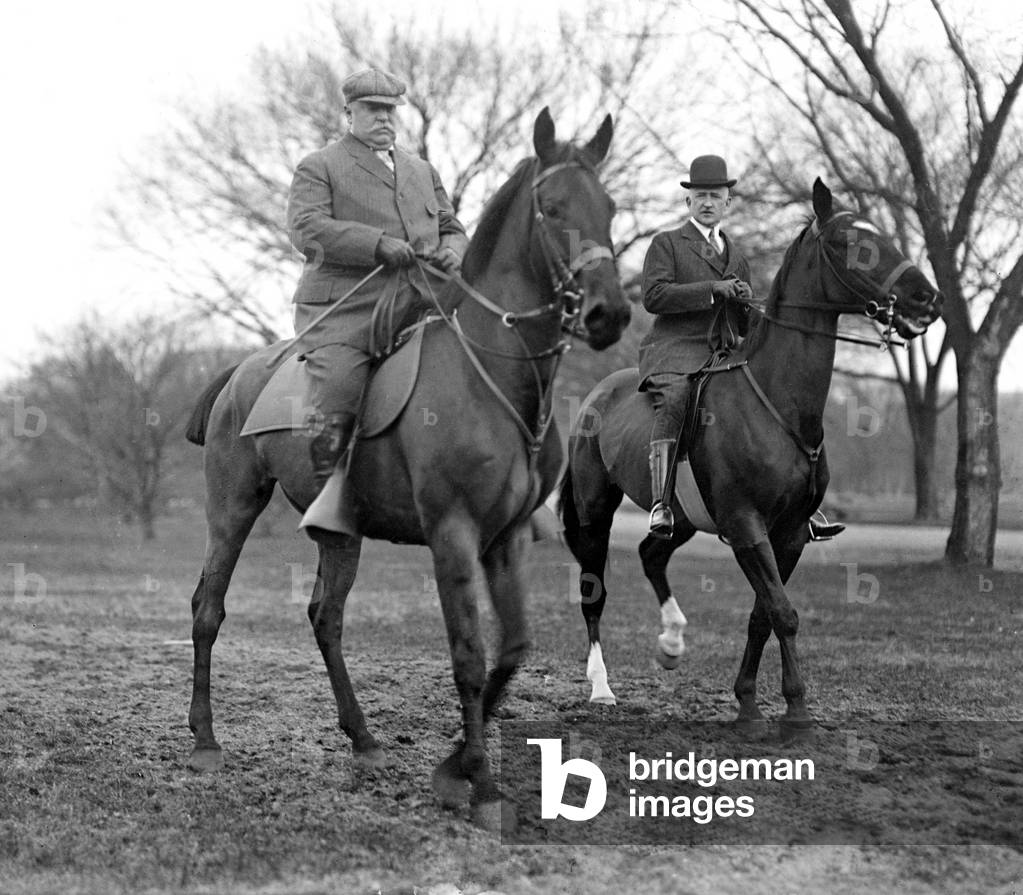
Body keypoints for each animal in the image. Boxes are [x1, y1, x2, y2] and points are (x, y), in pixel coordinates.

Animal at [183, 108, 631, 830]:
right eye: (553, 206)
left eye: (610, 206)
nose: (609, 312)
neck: (492, 374)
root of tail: (243, 369)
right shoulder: (452, 533)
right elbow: (469, 655)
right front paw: (476, 783)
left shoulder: (506, 538)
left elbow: (513, 648)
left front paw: (455, 764)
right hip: (233, 507)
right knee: (208, 608)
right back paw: (204, 739)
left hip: (339, 533)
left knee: (326, 617)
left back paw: (363, 738)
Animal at [558, 178, 942, 735]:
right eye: (853, 242)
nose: (927, 298)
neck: (777, 403)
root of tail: (594, 396)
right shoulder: (746, 526)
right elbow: (782, 611)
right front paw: (793, 711)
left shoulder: (790, 533)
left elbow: (765, 614)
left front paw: (751, 704)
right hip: (595, 511)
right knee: (595, 591)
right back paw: (602, 687)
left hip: (683, 520)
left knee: (652, 554)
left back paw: (672, 641)